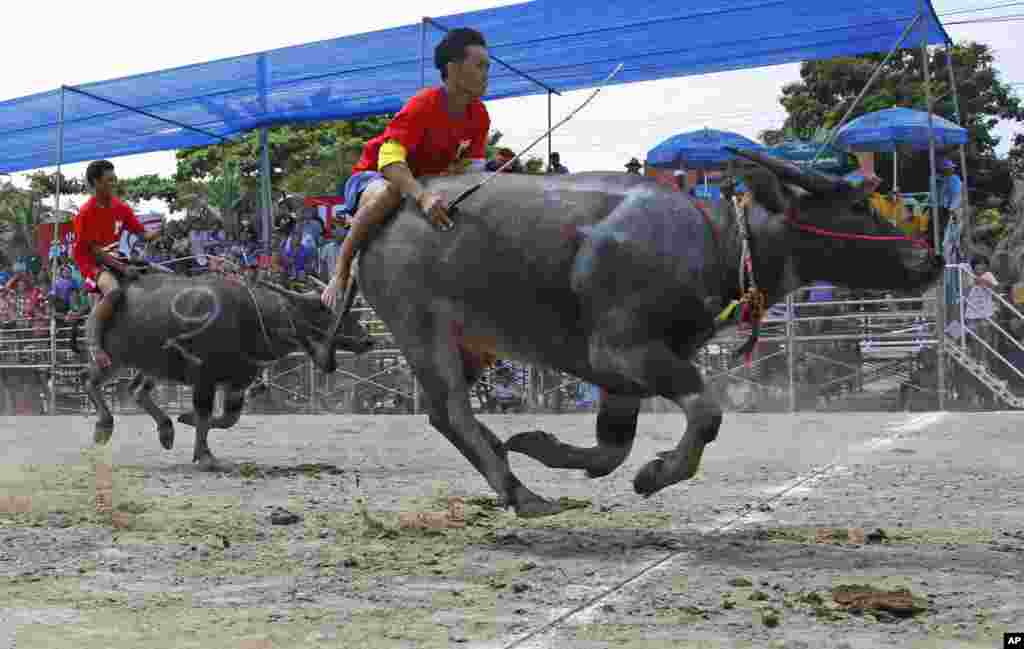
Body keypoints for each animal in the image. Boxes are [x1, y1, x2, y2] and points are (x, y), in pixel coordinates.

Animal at [72, 268, 370, 470]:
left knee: (136, 390)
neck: (247, 317)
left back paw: (166, 430)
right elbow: (205, 413)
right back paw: (104, 425)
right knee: (89, 379)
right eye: (323, 311)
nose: (368, 339)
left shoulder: (237, 381)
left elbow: (228, 418)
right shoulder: (204, 378)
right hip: (111, 358)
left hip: (150, 365)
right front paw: (204, 455)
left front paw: (186, 419)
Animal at [337, 146, 942, 515]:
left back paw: (506, 459)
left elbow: (612, 448)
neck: (716, 243)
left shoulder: (622, 376)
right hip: (421, 329)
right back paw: (520, 493)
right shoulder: (628, 353)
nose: (930, 258)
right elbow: (706, 414)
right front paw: (656, 474)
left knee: (453, 417)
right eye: (858, 203)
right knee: (451, 413)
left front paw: (538, 444)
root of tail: (376, 218)